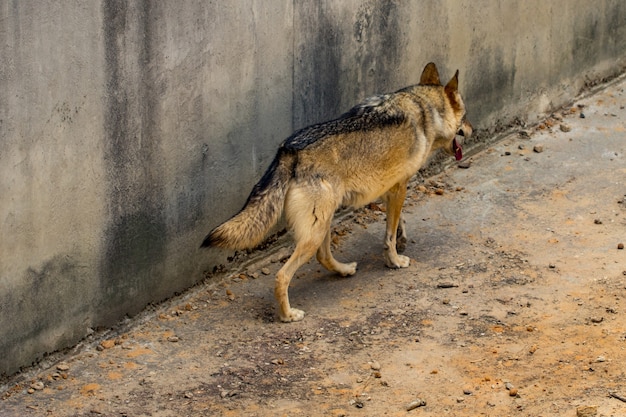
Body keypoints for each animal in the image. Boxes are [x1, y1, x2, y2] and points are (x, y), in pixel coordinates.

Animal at [202, 61, 470, 322]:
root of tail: (289, 150)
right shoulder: (399, 187)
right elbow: (389, 236)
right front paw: (394, 260)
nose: (471, 128)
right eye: (465, 115)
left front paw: (402, 239)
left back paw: (344, 270)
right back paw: (288, 315)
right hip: (315, 231)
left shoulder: (391, 189)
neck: (425, 108)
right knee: (282, 275)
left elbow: (397, 223)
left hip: (324, 221)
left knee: (323, 257)